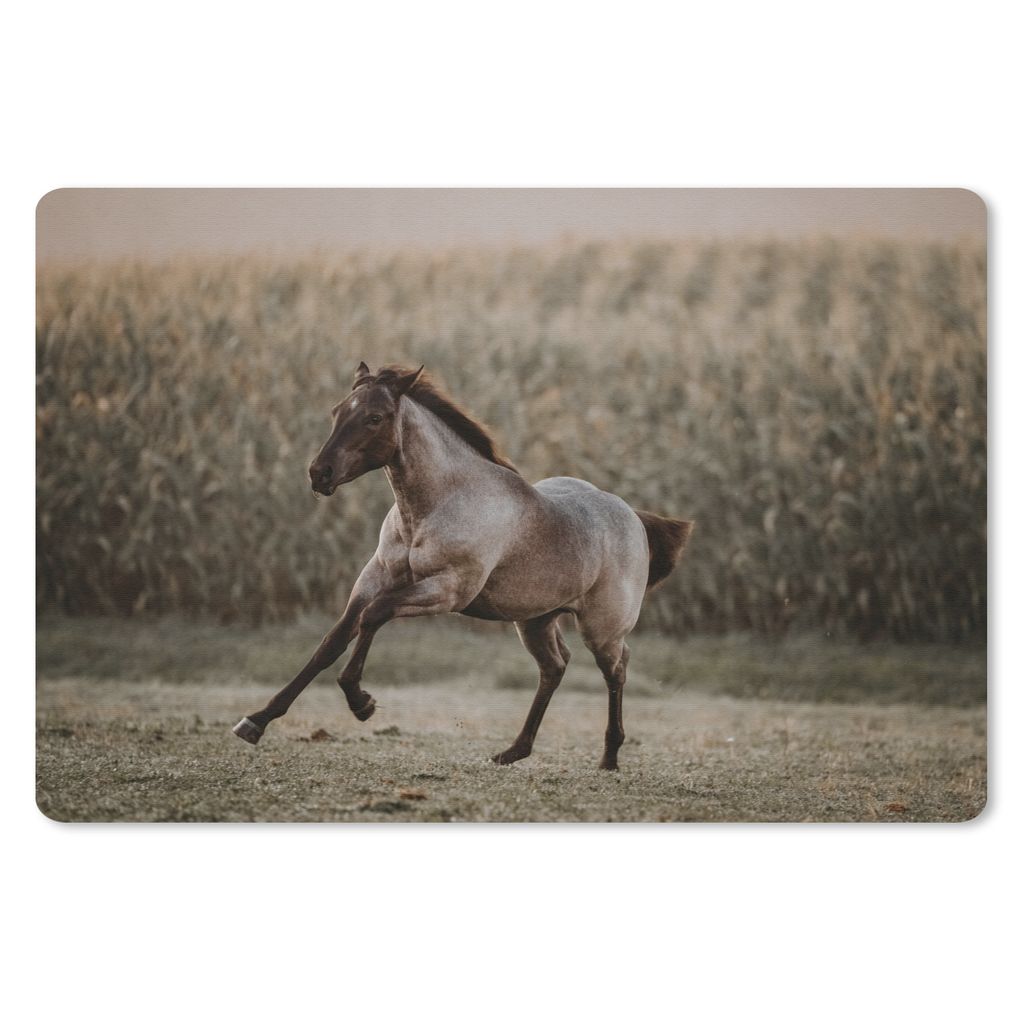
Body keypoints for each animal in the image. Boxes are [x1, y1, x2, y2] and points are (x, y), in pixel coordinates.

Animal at [233, 362, 693, 769]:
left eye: (375, 417)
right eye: (336, 411)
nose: (319, 473)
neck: (436, 506)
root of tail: (633, 517)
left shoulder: (447, 590)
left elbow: (374, 616)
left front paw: (361, 702)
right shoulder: (373, 578)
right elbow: (332, 641)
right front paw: (255, 721)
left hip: (601, 630)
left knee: (617, 669)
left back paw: (609, 758)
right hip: (535, 620)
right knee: (555, 667)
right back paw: (513, 752)